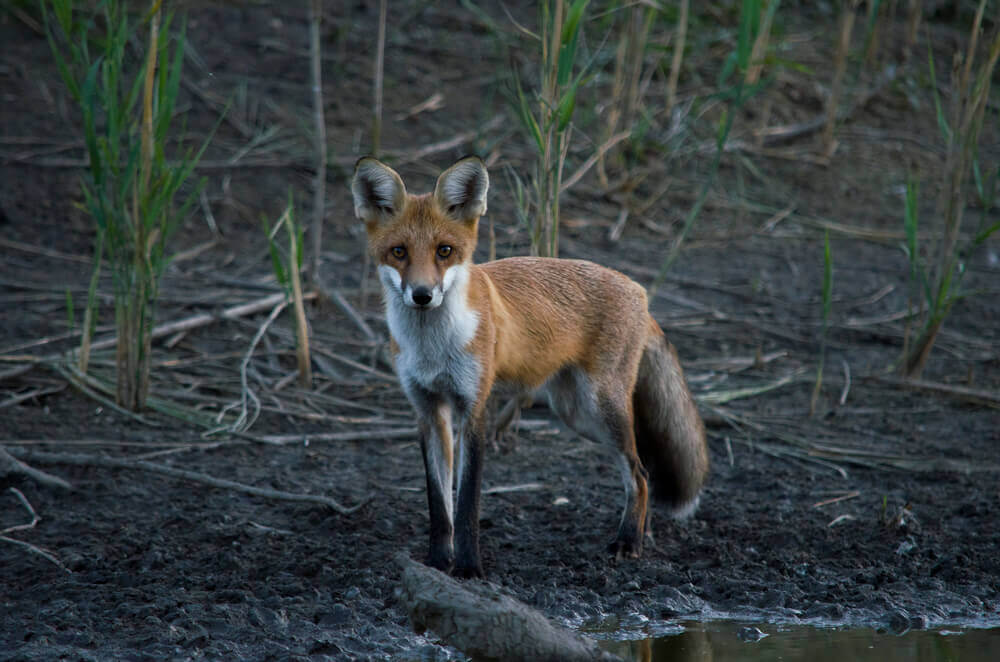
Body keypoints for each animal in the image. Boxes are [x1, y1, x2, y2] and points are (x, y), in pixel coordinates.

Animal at [354, 157, 712, 580]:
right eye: (399, 252)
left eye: (445, 251)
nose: (422, 295)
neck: (433, 348)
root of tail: (639, 291)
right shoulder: (428, 411)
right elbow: (440, 507)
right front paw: (439, 562)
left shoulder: (474, 409)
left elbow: (467, 504)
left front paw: (469, 568)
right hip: (576, 413)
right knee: (642, 472)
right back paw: (643, 533)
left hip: (601, 407)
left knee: (638, 474)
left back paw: (628, 541)